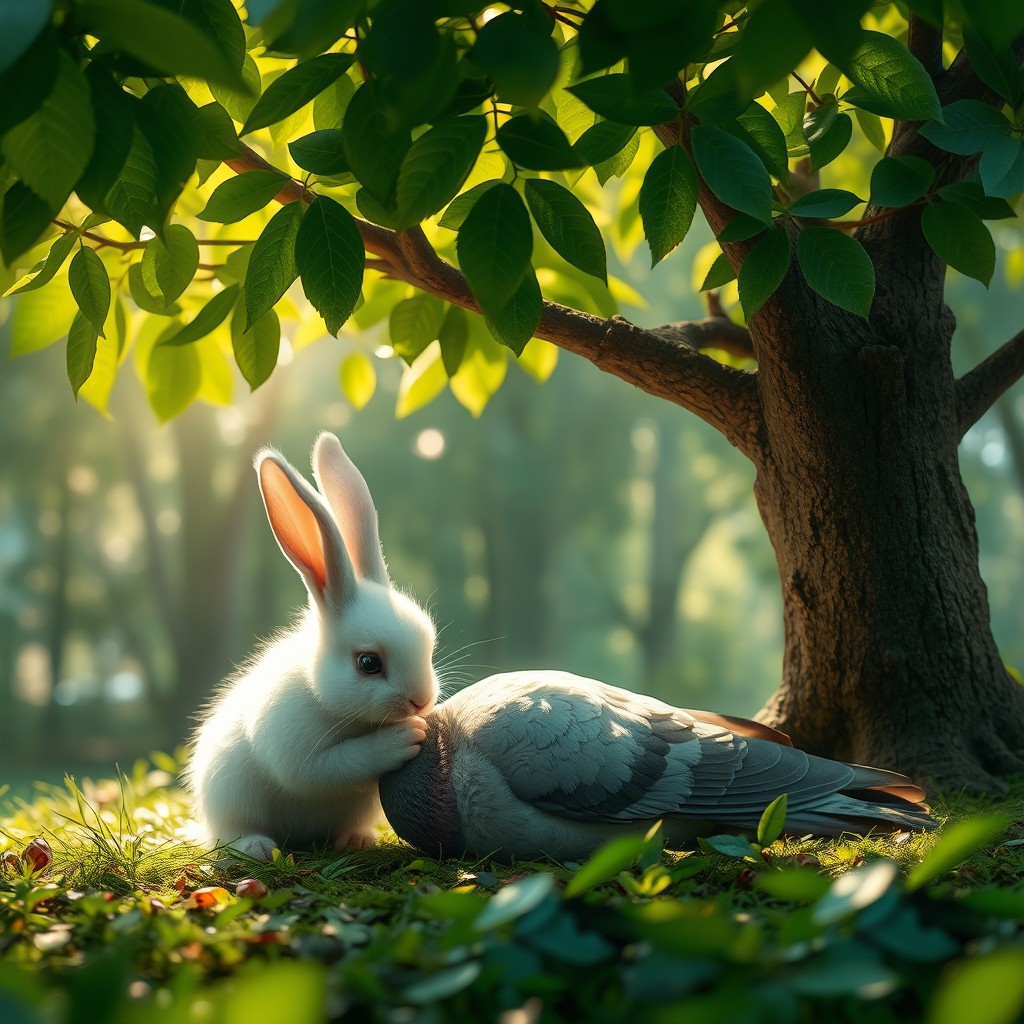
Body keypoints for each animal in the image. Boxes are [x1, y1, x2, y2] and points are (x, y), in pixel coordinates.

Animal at [186, 432, 440, 861]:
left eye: (430, 644)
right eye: (368, 663)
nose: (421, 702)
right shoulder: (296, 750)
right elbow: (335, 765)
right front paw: (406, 737)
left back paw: (355, 840)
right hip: (229, 801)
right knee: (229, 834)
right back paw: (256, 847)